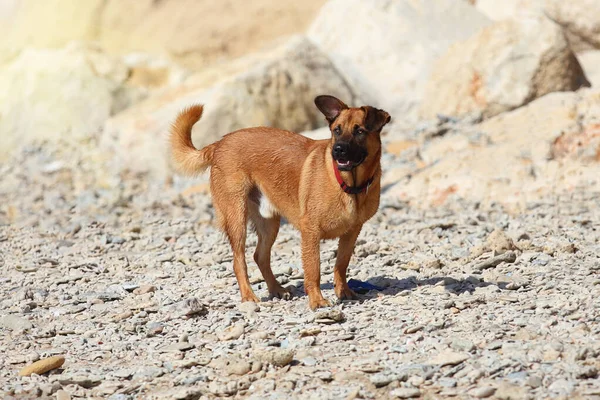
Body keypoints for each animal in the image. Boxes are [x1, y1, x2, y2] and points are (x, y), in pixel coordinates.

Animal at [171, 96, 392, 310]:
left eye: (360, 131)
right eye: (336, 130)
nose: (338, 150)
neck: (348, 184)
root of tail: (220, 143)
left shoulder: (352, 232)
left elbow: (341, 263)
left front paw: (343, 291)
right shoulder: (310, 232)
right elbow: (314, 269)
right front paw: (316, 301)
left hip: (269, 224)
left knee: (259, 256)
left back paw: (276, 289)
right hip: (237, 219)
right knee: (239, 260)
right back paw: (249, 295)